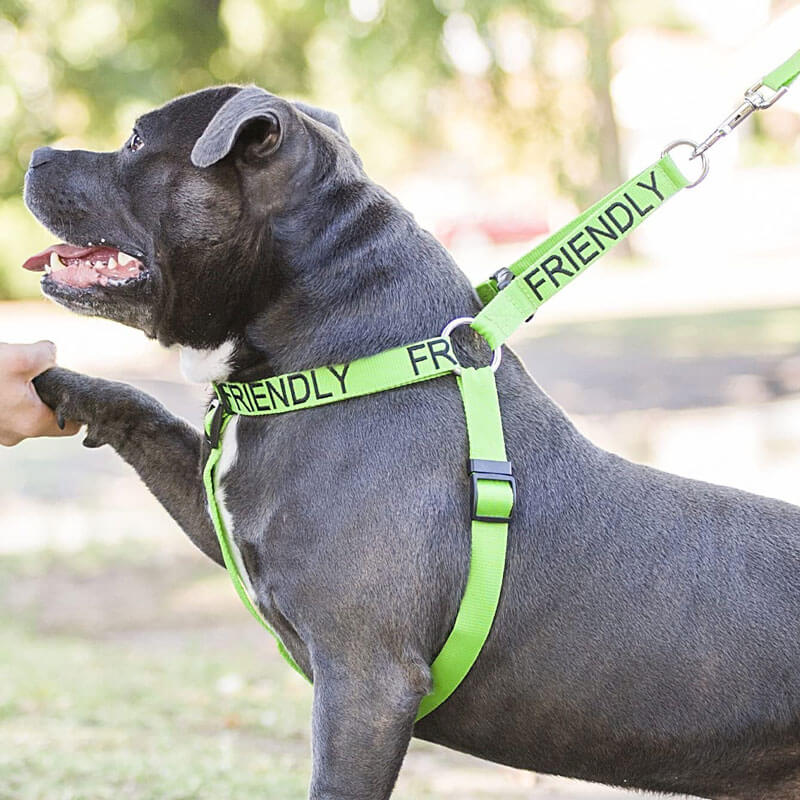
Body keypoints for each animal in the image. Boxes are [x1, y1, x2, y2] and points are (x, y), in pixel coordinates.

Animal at [20, 84, 800, 796]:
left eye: (134, 141)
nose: (33, 154)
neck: (340, 361)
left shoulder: (365, 682)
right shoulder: (224, 512)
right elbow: (144, 411)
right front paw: (50, 382)